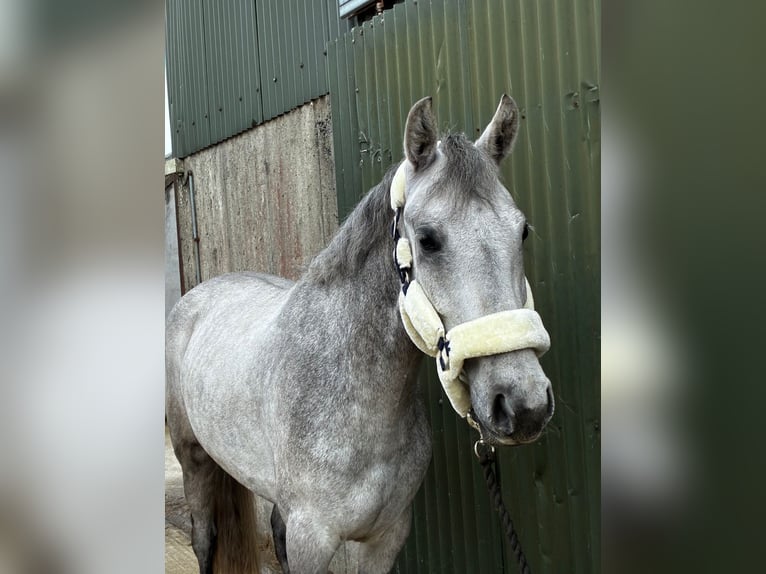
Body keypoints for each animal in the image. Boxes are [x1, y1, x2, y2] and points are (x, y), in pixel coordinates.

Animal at [165, 94, 554, 574]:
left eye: (522, 231)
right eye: (428, 240)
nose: (524, 405)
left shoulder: (385, 538)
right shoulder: (312, 539)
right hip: (192, 457)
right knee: (204, 539)